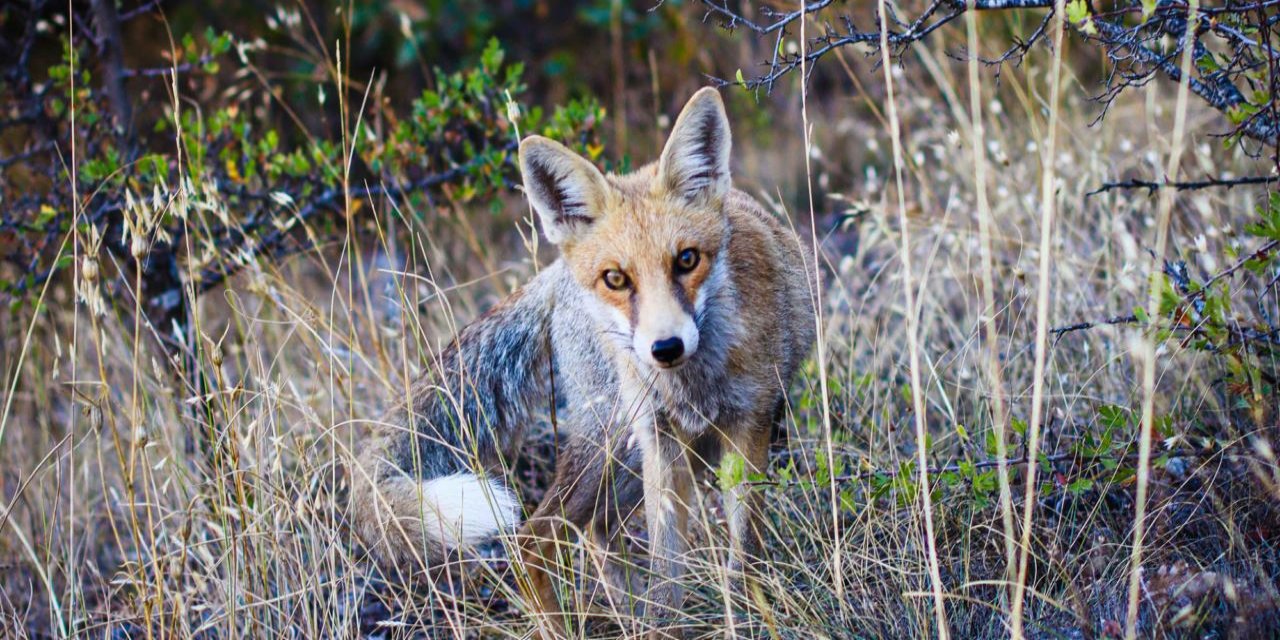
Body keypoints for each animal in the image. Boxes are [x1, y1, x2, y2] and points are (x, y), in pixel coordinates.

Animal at [345, 87, 814, 637]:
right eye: (616, 278)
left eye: (687, 260)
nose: (666, 348)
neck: (693, 385)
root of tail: (555, 274)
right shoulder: (662, 445)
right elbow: (668, 577)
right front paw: (677, 625)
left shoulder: (748, 427)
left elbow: (742, 558)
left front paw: (746, 613)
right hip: (610, 441)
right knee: (535, 537)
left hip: (634, 458)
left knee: (595, 528)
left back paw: (623, 612)